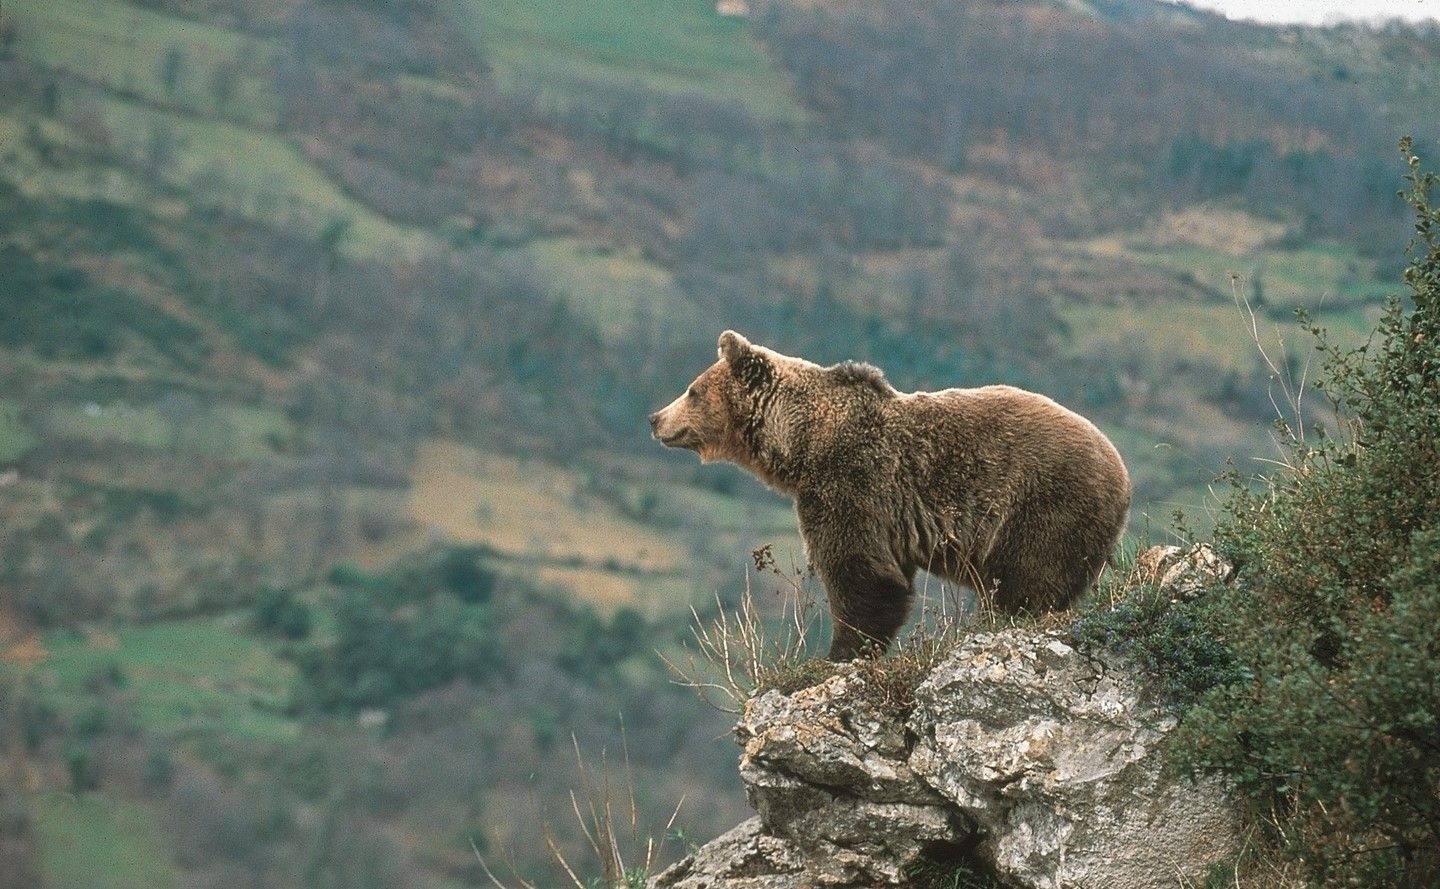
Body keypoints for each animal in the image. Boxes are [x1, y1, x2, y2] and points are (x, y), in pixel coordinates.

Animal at [648, 332, 1128, 659]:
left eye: (692, 390)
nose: (654, 418)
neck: (800, 442)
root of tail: (1122, 475)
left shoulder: (852, 481)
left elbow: (860, 571)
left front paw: (839, 653)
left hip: (1044, 504)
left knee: (1030, 579)